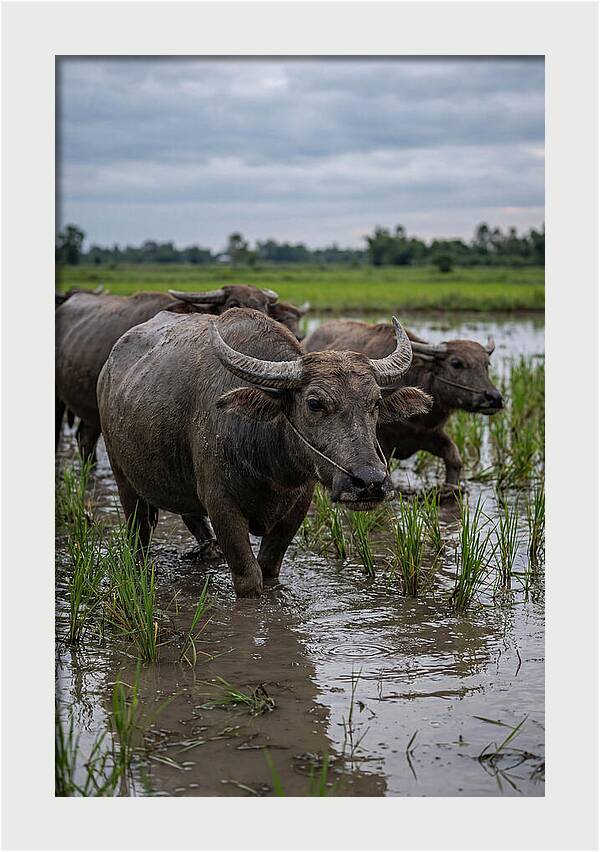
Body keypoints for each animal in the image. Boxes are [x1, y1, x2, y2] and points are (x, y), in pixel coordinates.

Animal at [97, 309, 432, 597]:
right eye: (314, 403)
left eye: (375, 402)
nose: (369, 482)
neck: (270, 465)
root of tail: (108, 369)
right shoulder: (222, 505)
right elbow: (249, 579)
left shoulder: (297, 506)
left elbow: (269, 569)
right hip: (122, 476)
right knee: (138, 534)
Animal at [304, 319, 503, 490]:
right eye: (457, 363)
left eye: (486, 364)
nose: (494, 397)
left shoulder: (429, 434)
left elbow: (454, 458)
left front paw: (451, 488)